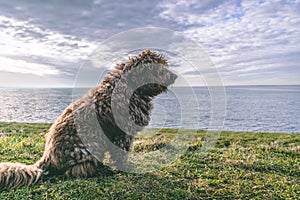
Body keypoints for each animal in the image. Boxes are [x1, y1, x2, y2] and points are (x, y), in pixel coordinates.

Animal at [0, 49, 177, 190]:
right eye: (159, 67)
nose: (174, 76)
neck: (131, 87)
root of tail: (46, 160)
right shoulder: (123, 135)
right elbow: (120, 155)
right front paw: (123, 168)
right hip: (89, 147)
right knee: (75, 171)